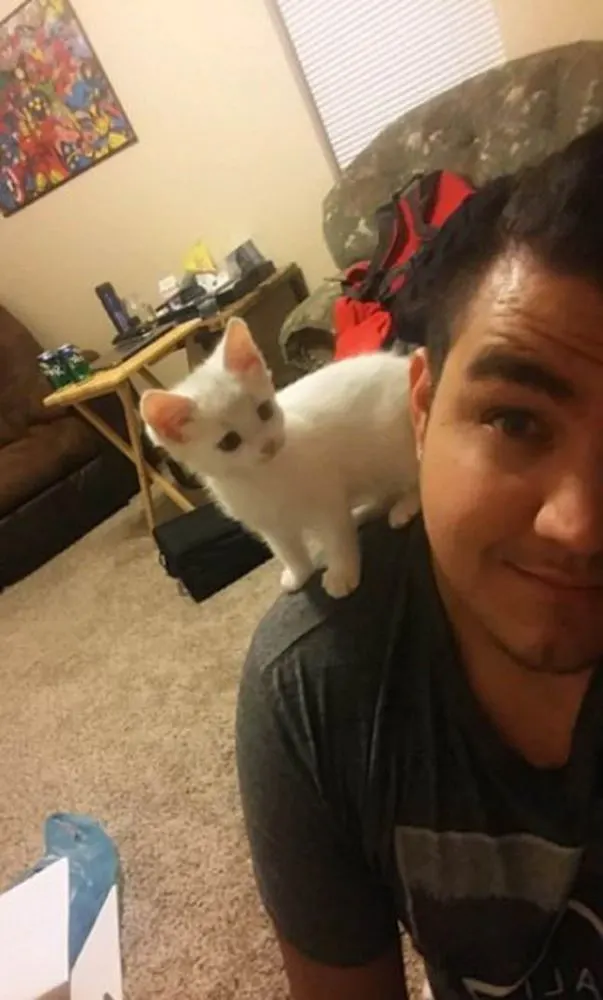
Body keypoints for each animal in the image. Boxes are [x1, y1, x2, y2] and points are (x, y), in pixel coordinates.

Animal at [140, 317, 419, 599]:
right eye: (229, 442)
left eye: (264, 411)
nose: (269, 444)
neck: (264, 476)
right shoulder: (270, 523)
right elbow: (287, 550)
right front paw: (299, 574)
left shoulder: (327, 500)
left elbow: (337, 538)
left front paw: (342, 574)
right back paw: (365, 511)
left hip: (396, 442)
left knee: (417, 476)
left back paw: (405, 506)